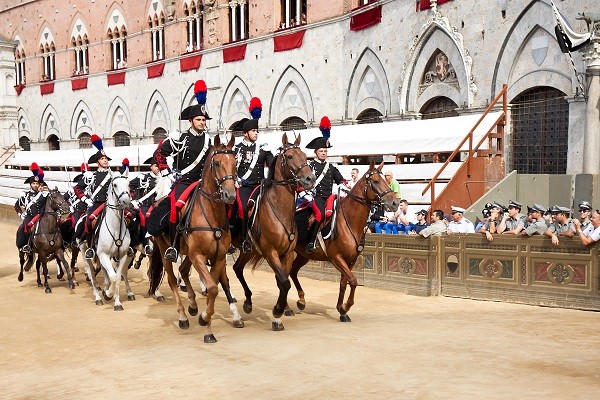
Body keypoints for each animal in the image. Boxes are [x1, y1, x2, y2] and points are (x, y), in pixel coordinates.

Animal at [79, 170, 134, 310]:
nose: (126, 202)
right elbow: (113, 277)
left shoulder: (122, 255)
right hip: (86, 253)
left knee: (105, 272)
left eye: (128, 184)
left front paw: (117, 301)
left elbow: (117, 277)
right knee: (92, 273)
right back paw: (98, 297)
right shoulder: (103, 254)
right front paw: (108, 294)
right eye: (114, 184)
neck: (115, 227)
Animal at [148, 135, 237, 344]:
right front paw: (204, 320)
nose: (229, 195)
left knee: (182, 270)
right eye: (217, 162)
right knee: (172, 279)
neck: (211, 214)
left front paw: (206, 324)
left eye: (235, 162)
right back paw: (182, 316)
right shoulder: (198, 256)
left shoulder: (218, 258)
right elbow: (211, 287)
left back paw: (193, 306)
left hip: (187, 252)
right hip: (166, 250)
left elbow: (213, 289)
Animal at [231, 133, 316, 330]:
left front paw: (281, 313)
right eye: (290, 156)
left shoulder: (287, 253)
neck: (279, 210)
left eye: (305, 155)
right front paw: (277, 311)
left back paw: (248, 302)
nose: (310, 179)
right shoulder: (270, 252)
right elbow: (284, 282)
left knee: (237, 268)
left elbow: (283, 281)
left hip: (248, 250)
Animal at [290, 160, 400, 322]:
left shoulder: (351, 260)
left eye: (386, 180)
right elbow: (353, 281)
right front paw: (346, 306)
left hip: (303, 255)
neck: (349, 220)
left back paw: (301, 301)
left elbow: (344, 283)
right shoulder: (336, 258)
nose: (395, 203)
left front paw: (341, 310)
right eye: (375, 181)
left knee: (292, 272)